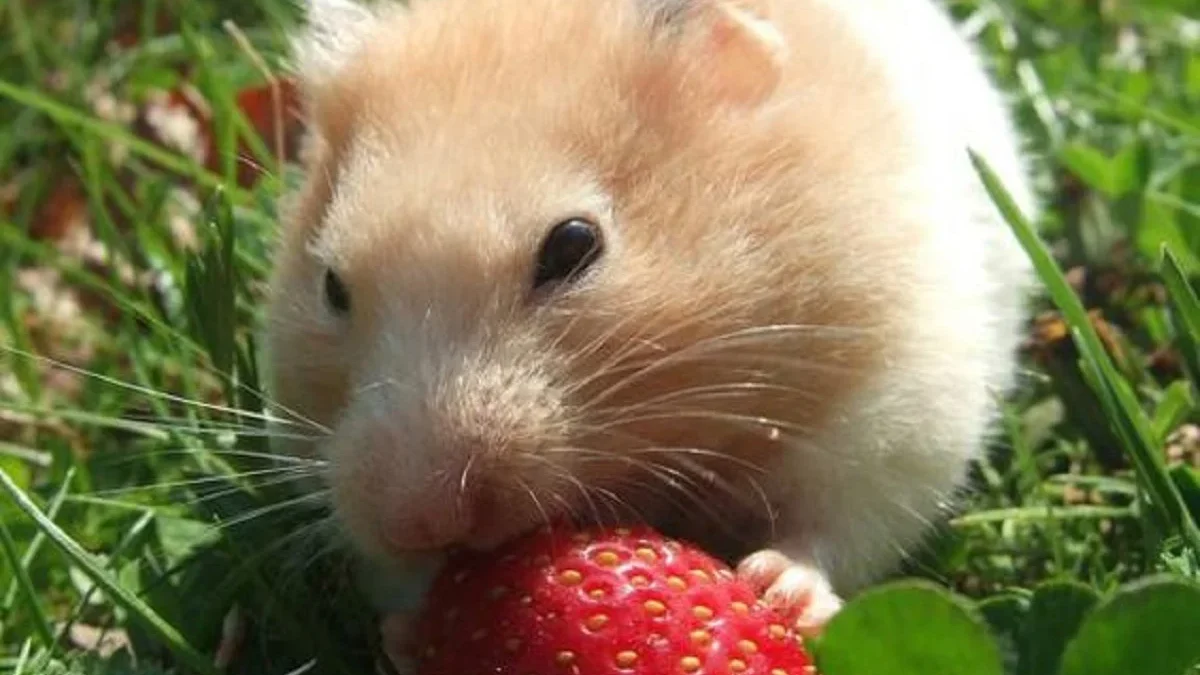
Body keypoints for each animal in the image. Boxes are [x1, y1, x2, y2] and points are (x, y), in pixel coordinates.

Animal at [267, 0, 1036, 634]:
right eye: (332, 285)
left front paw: (775, 588)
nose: (418, 520)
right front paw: (408, 630)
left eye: (573, 244)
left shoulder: (895, 409)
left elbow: (836, 525)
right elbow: (402, 586)